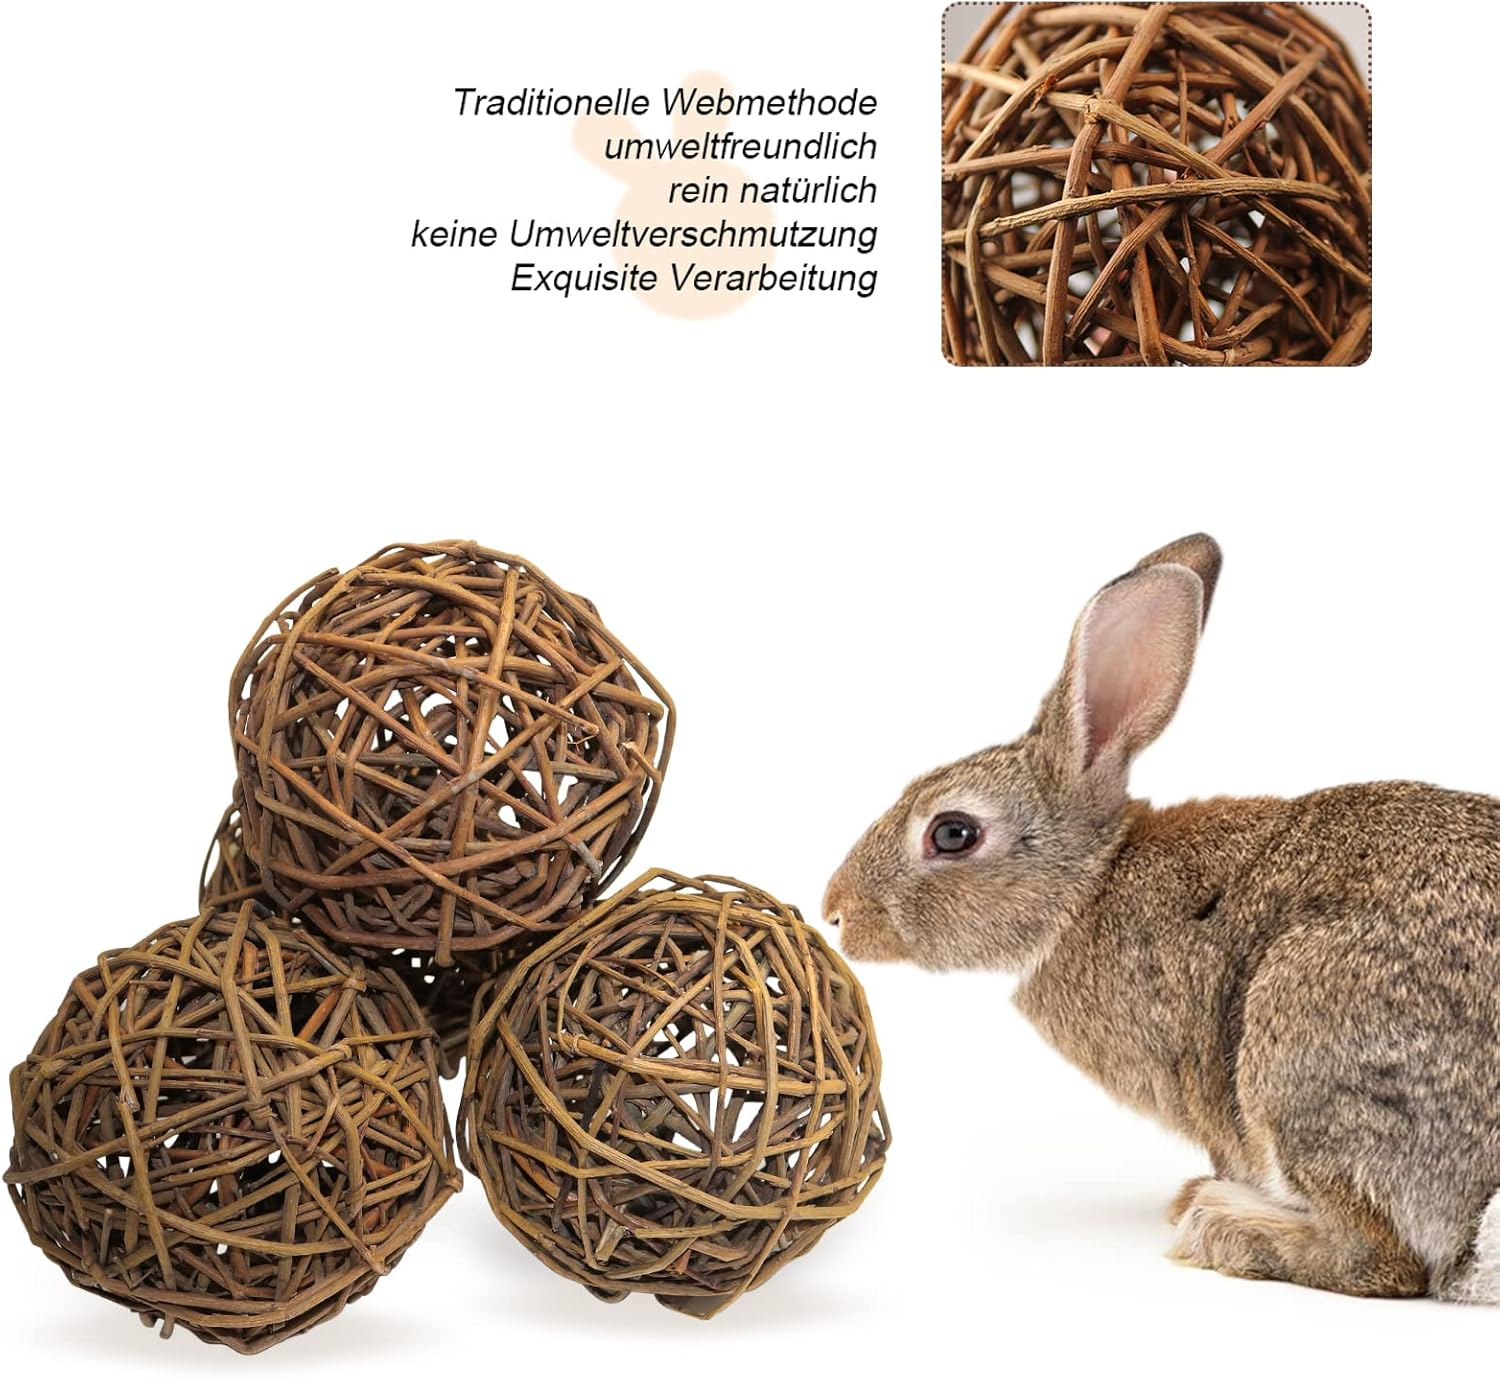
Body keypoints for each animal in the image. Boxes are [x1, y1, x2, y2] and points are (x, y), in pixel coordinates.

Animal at [824, 533, 1499, 1303]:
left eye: (953, 833)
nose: (836, 910)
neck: (1091, 883)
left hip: (1301, 1043)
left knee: (1385, 1260)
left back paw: (1223, 1224)